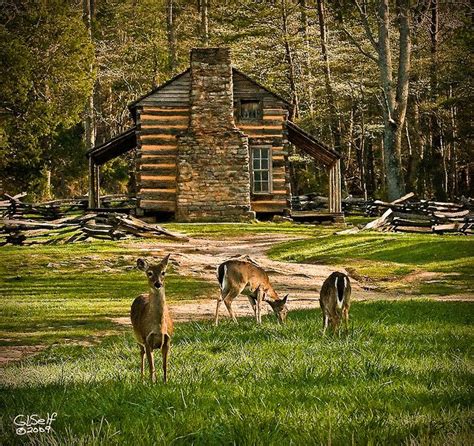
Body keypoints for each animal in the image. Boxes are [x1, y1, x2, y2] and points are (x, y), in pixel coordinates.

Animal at [131, 254, 173, 384]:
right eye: (149, 273)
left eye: (163, 272)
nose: (158, 284)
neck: (158, 327)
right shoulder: (147, 339)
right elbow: (152, 366)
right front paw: (152, 383)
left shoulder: (168, 340)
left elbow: (165, 366)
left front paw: (165, 382)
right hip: (138, 337)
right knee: (142, 353)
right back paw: (142, 378)